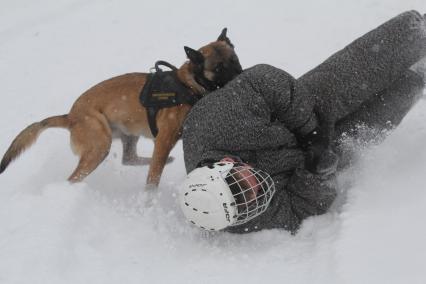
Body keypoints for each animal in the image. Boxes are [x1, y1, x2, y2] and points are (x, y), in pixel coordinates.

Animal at [0, 28, 241, 186]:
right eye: (218, 68)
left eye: (235, 60)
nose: (241, 76)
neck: (188, 85)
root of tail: (70, 116)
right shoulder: (164, 141)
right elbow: (153, 179)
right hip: (99, 145)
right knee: (75, 177)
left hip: (126, 135)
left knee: (129, 159)